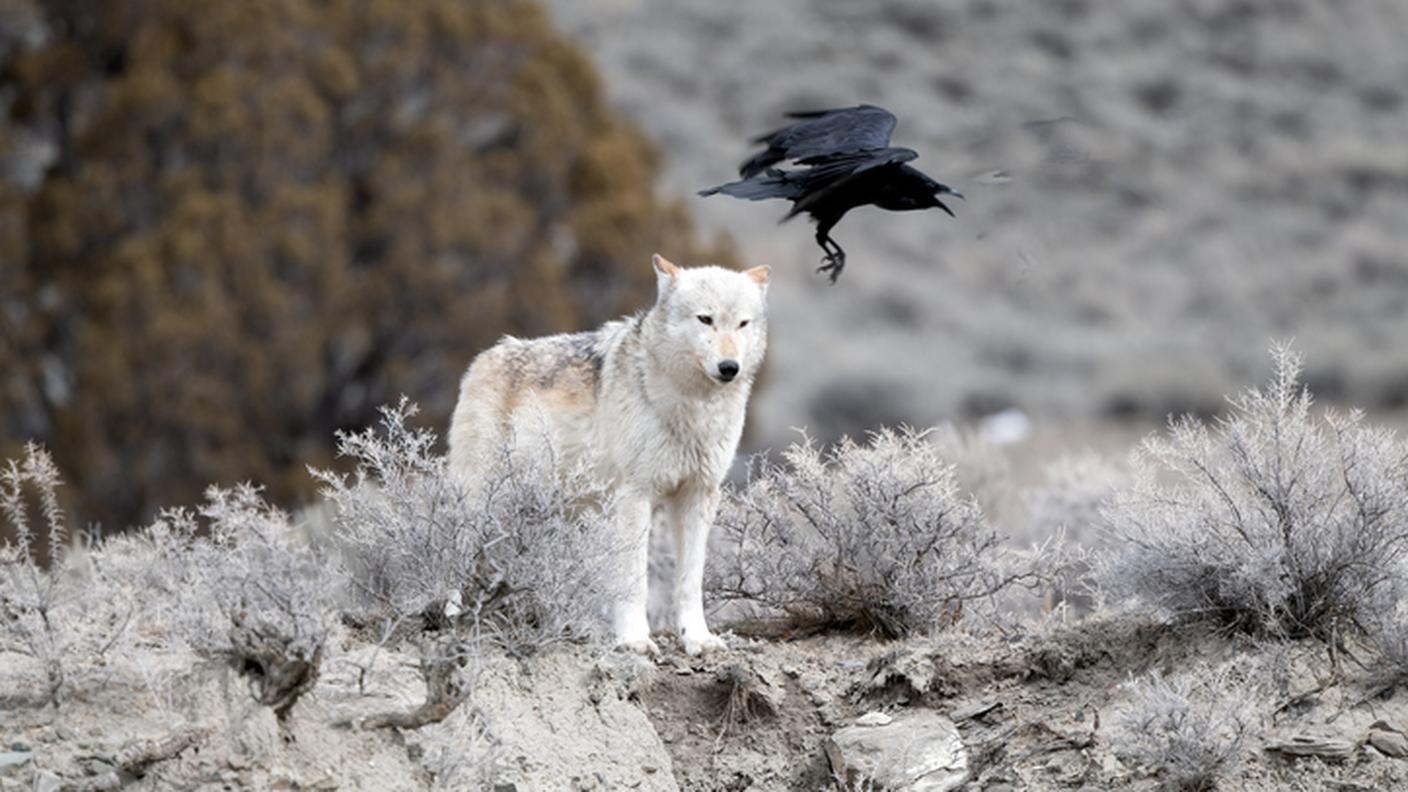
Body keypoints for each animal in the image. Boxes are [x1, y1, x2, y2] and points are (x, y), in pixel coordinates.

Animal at [448, 254, 770, 655]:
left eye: (742, 323)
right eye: (705, 319)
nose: (729, 367)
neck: (692, 408)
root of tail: (485, 356)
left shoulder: (698, 495)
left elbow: (690, 582)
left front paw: (698, 638)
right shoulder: (634, 495)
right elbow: (634, 579)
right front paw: (634, 639)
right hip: (479, 504)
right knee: (452, 557)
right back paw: (449, 617)